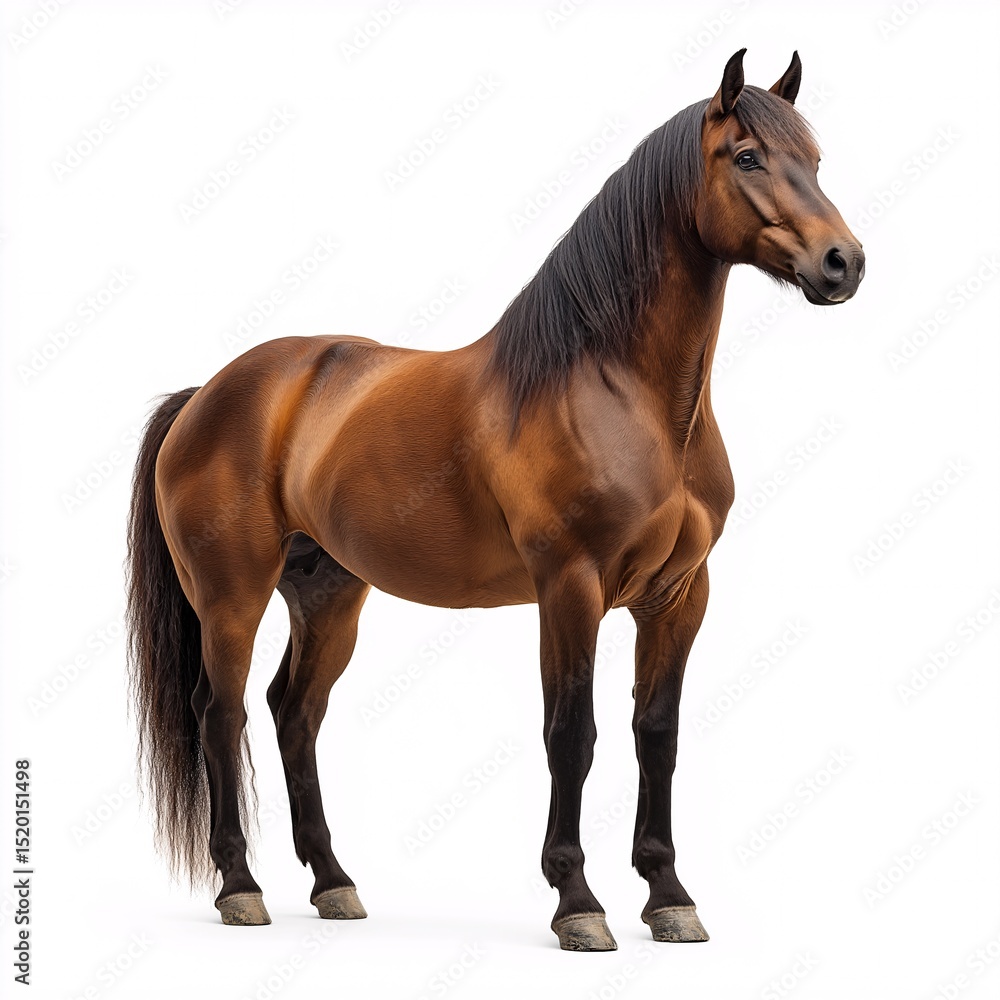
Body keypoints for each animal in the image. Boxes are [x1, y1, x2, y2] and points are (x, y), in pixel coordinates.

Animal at [126, 49, 864, 951]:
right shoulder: (570, 587)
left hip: (329, 593)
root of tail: (207, 393)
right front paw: (578, 902)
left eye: (816, 160)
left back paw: (334, 882)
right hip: (231, 596)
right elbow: (571, 735)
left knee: (292, 712)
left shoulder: (679, 595)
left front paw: (668, 895)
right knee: (220, 714)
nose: (844, 263)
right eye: (748, 156)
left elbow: (656, 734)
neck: (621, 392)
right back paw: (240, 887)